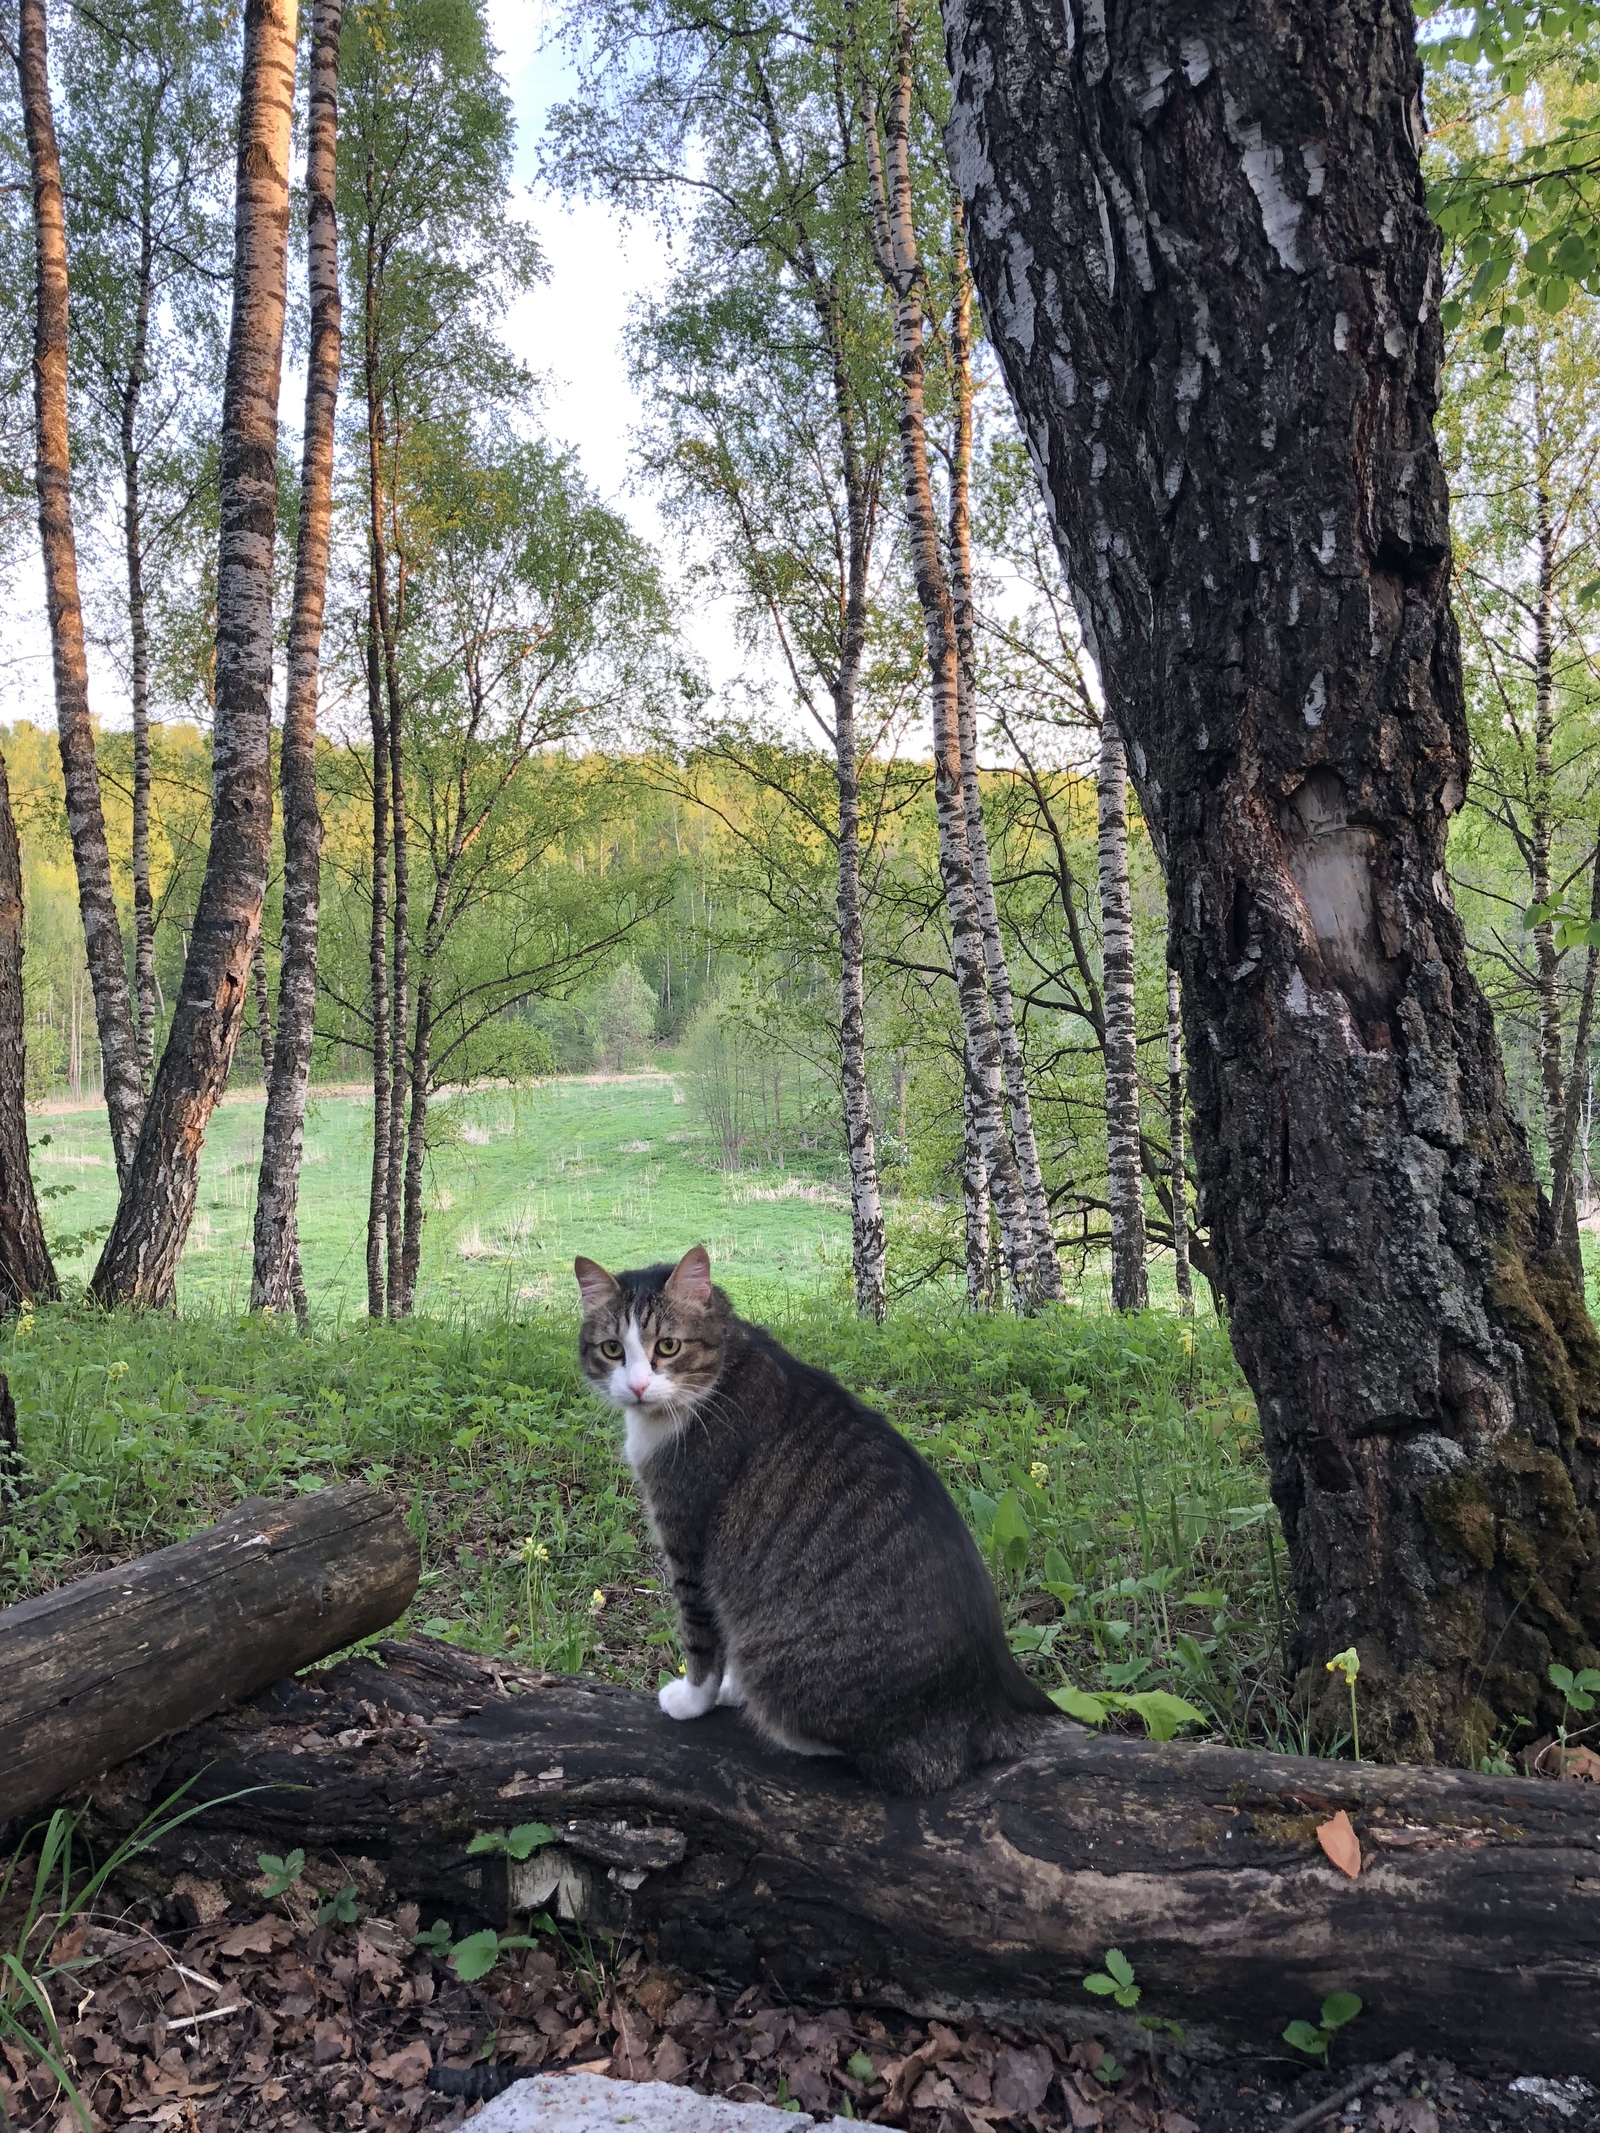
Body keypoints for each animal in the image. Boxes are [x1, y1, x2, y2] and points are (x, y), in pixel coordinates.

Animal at [576, 1245, 1066, 1791]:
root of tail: (994, 1703)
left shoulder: (689, 1540)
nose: (638, 1387)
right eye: (612, 1350)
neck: (722, 1368)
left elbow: (701, 1639)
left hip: (779, 1659)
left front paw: (693, 1699)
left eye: (667, 1345)